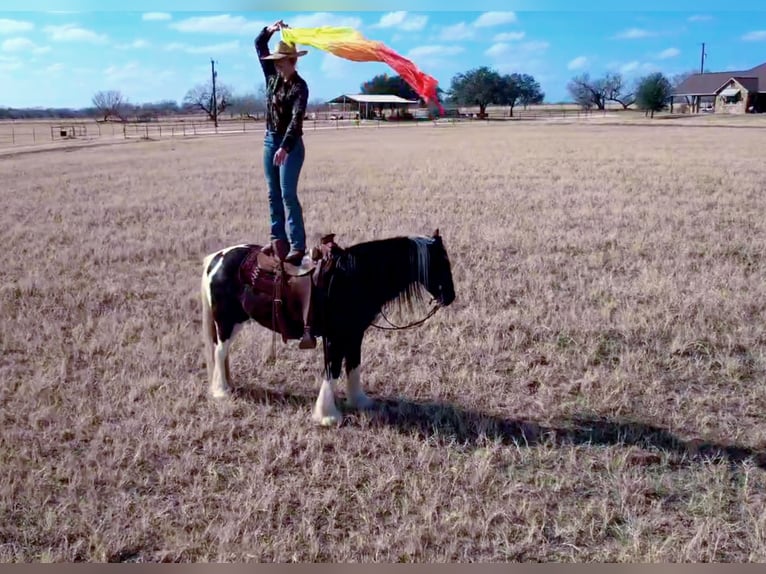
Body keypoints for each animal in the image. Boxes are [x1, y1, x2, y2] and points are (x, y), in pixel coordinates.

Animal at [201, 231, 460, 428]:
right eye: (440, 263)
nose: (450, 296)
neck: (354, 277)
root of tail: (216, 259)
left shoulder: (354, 334)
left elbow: (353, 365)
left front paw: (359, 401)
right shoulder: (335, 337)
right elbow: (332, 370)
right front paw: (328, 415)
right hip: (227, 322)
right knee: (220, 352)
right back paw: (222, 390)